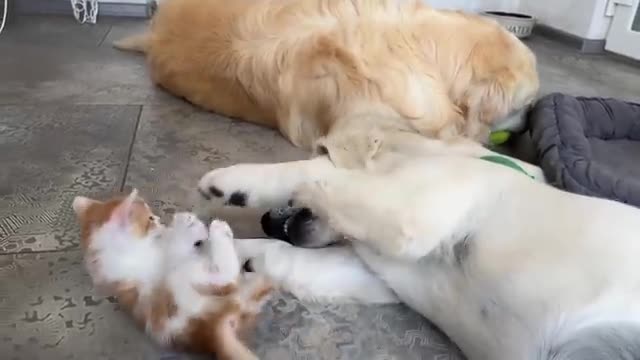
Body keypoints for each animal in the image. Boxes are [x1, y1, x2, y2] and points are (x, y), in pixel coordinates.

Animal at [71, 190, 272, 358]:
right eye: (150, 218)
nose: (159, 218)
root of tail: (211, 331)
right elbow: (176, 247)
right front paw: (185, 226)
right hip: (184, 289)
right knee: (225, 276)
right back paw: (220, 231)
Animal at [195, 134, 640, 358]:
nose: (268, 221)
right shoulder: (380, 272)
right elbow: (284, 256)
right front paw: (218, 252)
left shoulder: (413, 213)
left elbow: (314, 173)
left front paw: (233, 182)